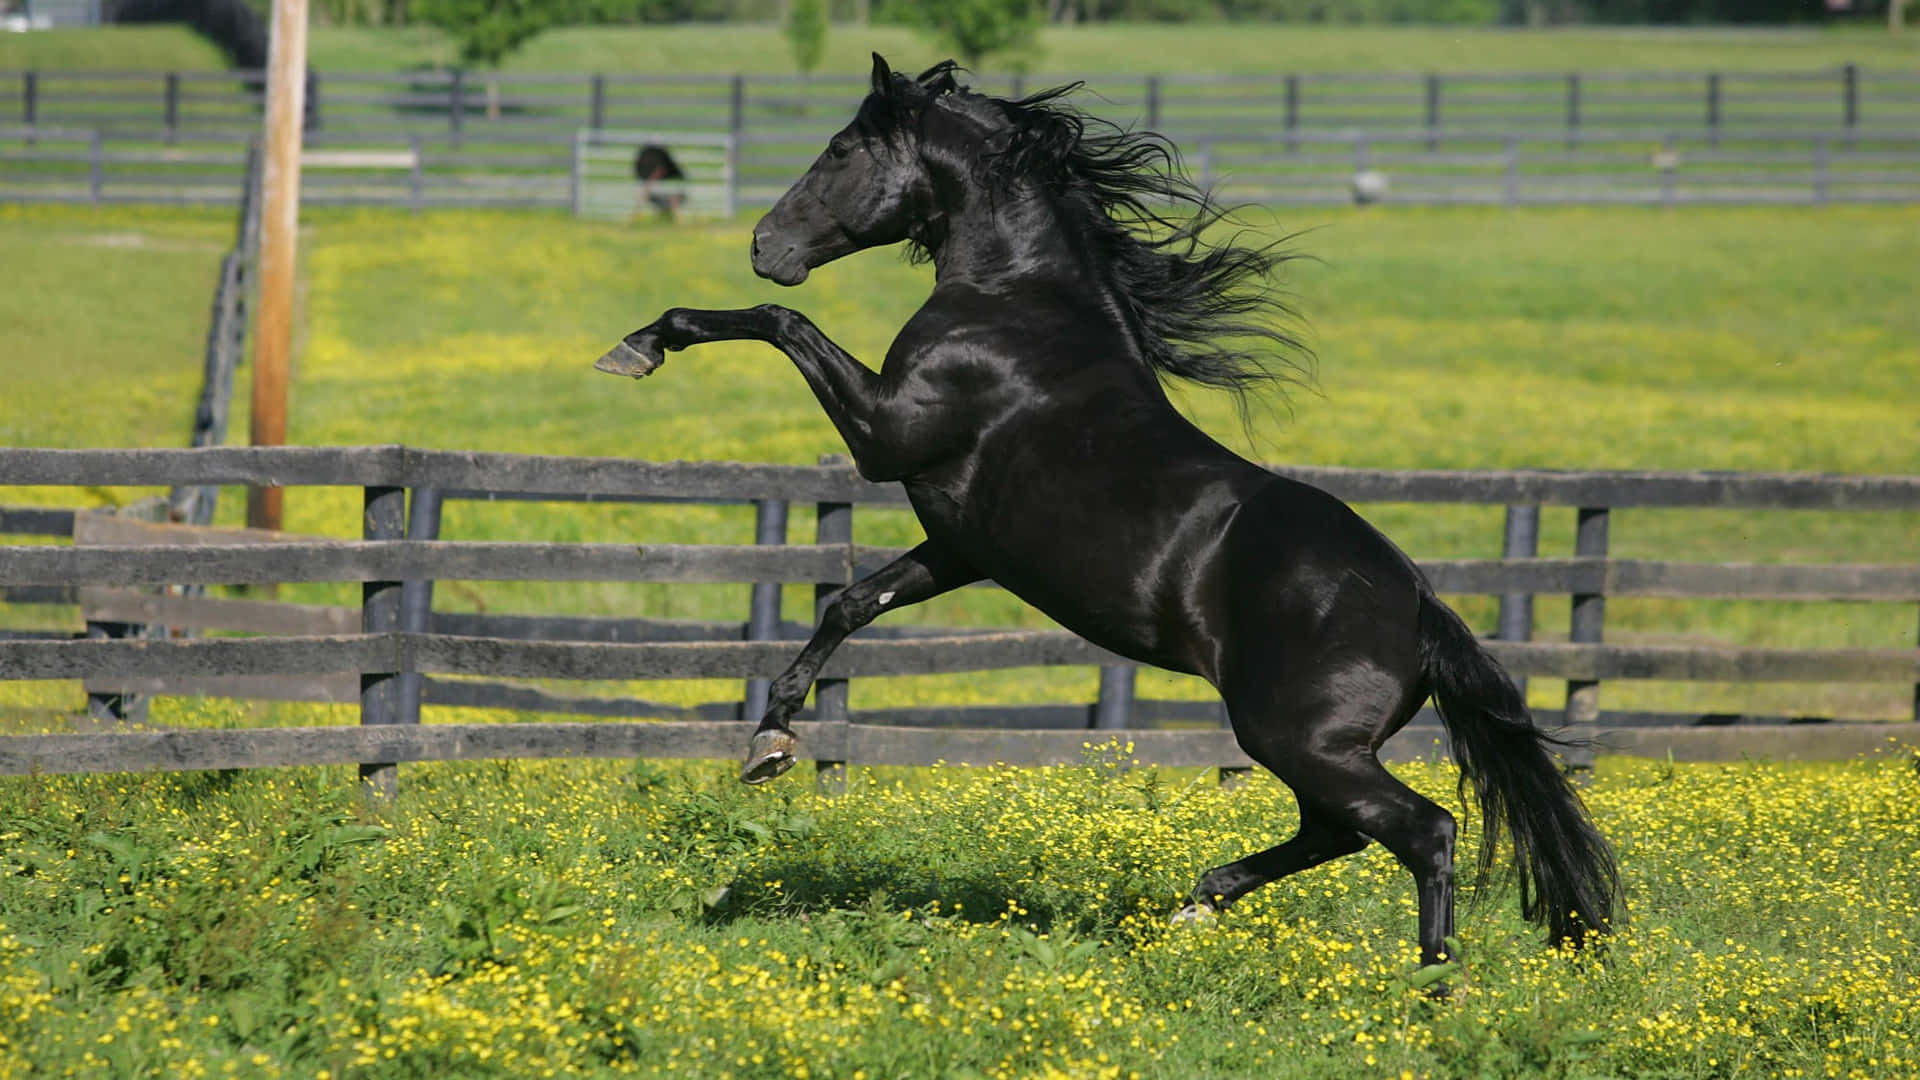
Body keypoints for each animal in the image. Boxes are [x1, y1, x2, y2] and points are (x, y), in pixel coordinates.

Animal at [593, 54, 1621, 970]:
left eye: (842, 147)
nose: (764, 246)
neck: (1016, 306)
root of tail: (1419, 608)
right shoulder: (962, 545)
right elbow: (850, 603)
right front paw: (769, 740)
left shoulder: (886, 435)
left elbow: (780, 325)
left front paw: (641, 344)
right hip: (1311, 747)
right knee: (1338, 832)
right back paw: (1200, 903)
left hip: (1297, 738)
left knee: (1422, 830)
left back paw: (1432, 986)